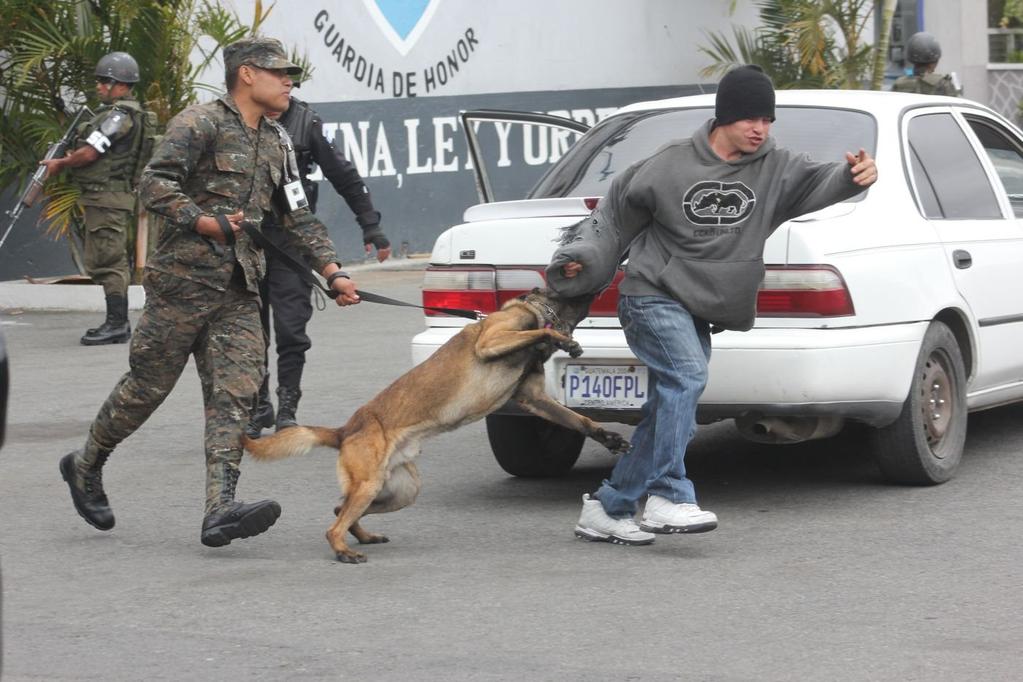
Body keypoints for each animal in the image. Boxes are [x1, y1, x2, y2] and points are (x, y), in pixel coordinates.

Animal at [243, 290, 626, 564]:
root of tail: (345, 430)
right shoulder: (491, 341)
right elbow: (539, 329)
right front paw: (560, 338)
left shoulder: (534, 399)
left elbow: (580, 420)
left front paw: (607, 437)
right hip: (369, 484)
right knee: (334, 525)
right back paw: (344, 551)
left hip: (401, 490)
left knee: (340, 511)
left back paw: (363, 536)